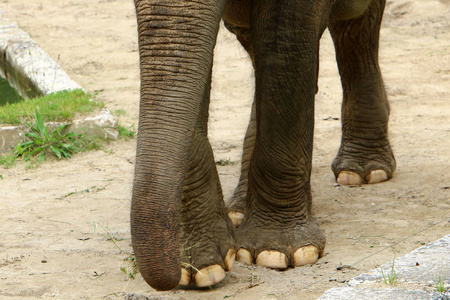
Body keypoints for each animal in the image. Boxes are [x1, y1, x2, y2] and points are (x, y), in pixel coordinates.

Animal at [129, 0, 394, 292]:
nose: (172, 274)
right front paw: (201, 268)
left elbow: (283, 44)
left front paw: (274, 253)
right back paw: (239, 209)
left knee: (355, 25)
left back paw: (361, 172)